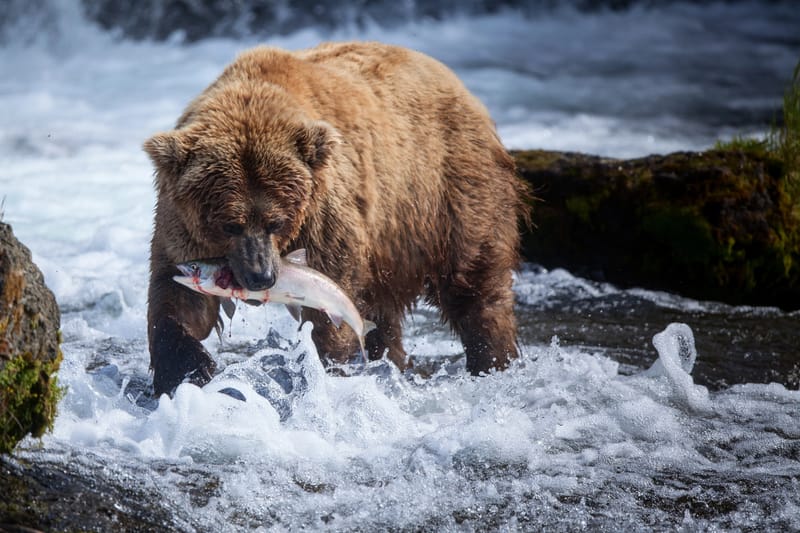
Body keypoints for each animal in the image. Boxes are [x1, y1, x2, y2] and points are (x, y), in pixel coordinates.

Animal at [144, 41, 529, 397]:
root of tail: (458, 85)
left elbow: (329, 303)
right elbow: (179, 301)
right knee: (383, 312)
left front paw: (323, 368)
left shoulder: (323, 217)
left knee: (475, 284)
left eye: (276, 222)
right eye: (230, 224)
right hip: (388, 241)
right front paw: (187, 372)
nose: (261, 276)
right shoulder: (182, 225)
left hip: (446, 191)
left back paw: (494, 361)